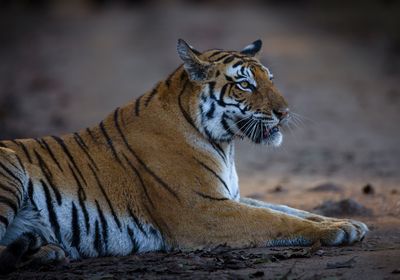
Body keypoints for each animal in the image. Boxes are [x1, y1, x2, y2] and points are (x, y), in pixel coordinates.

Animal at [0, 38, 366, 272]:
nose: (285, 112)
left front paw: (347, 223)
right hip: (9, 176)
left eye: (270, 80)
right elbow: (274, 219)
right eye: (245, 85)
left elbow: (289, 209)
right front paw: (338, 231)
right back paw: (36, 252)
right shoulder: (201, 209)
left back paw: (42, 250)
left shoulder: (230, 196)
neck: (225, 144)